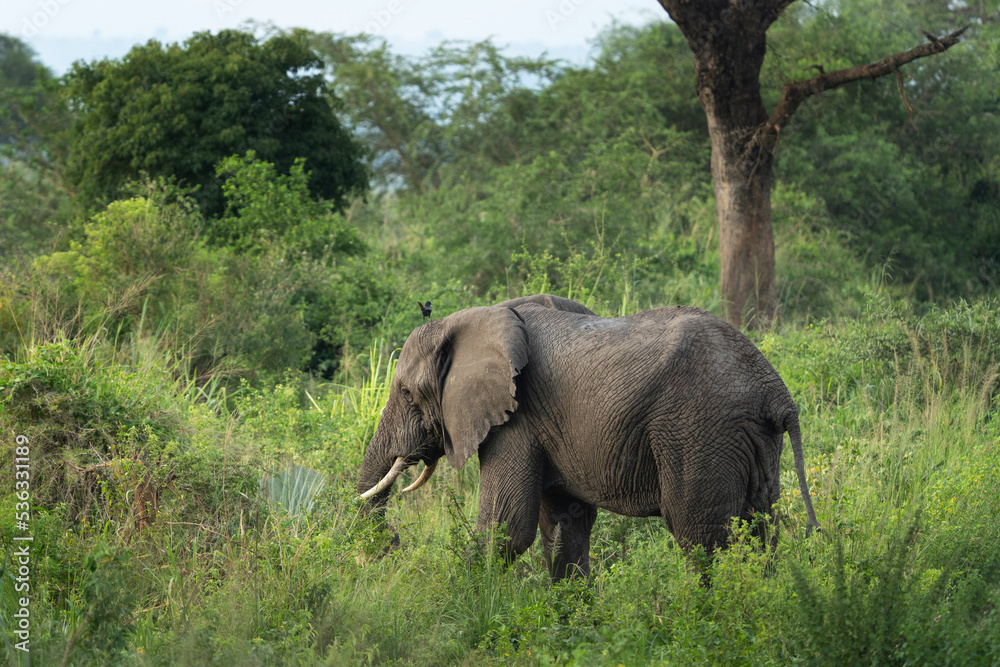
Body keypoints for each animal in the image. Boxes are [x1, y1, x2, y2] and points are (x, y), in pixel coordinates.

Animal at [357, 295, 819, 580]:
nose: (394, 542)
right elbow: (566, 524)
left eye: (406, 393)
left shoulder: (516, 418)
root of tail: (775, 391)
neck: (474, 317)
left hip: (699, 429)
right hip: (751, 440)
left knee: (702, 536)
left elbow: (506, 527)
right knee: (761, 529)